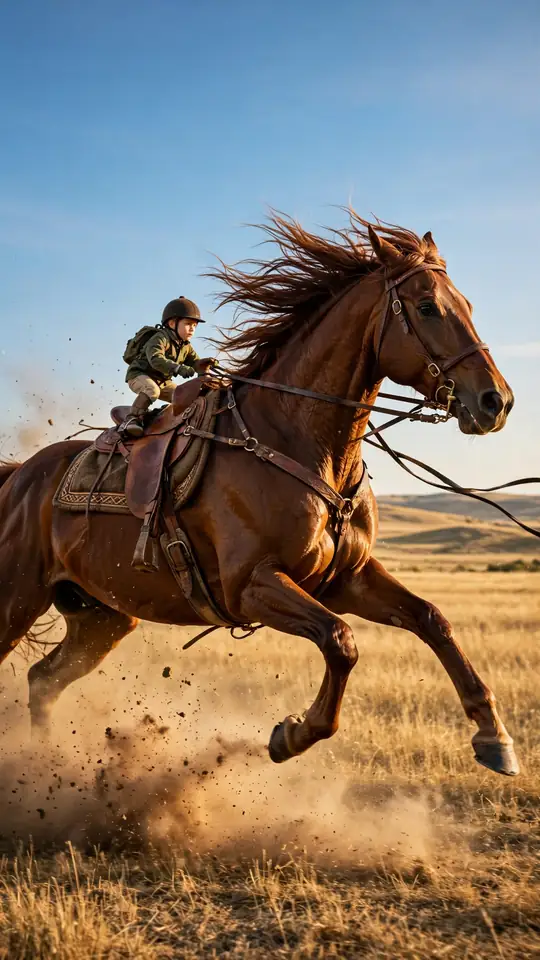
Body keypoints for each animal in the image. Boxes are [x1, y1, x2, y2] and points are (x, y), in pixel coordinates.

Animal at [0, 211, 519, 777]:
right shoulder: (251, 585)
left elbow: (431, 619)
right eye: (427, 307)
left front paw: (494, 736)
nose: (497, 401)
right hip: (16, 601)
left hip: (101, 617)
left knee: (43, 681)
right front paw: (291, 735)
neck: (294, 438)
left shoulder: (347, 578)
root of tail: (18, 476)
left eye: (467, 306)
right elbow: (341, 642)